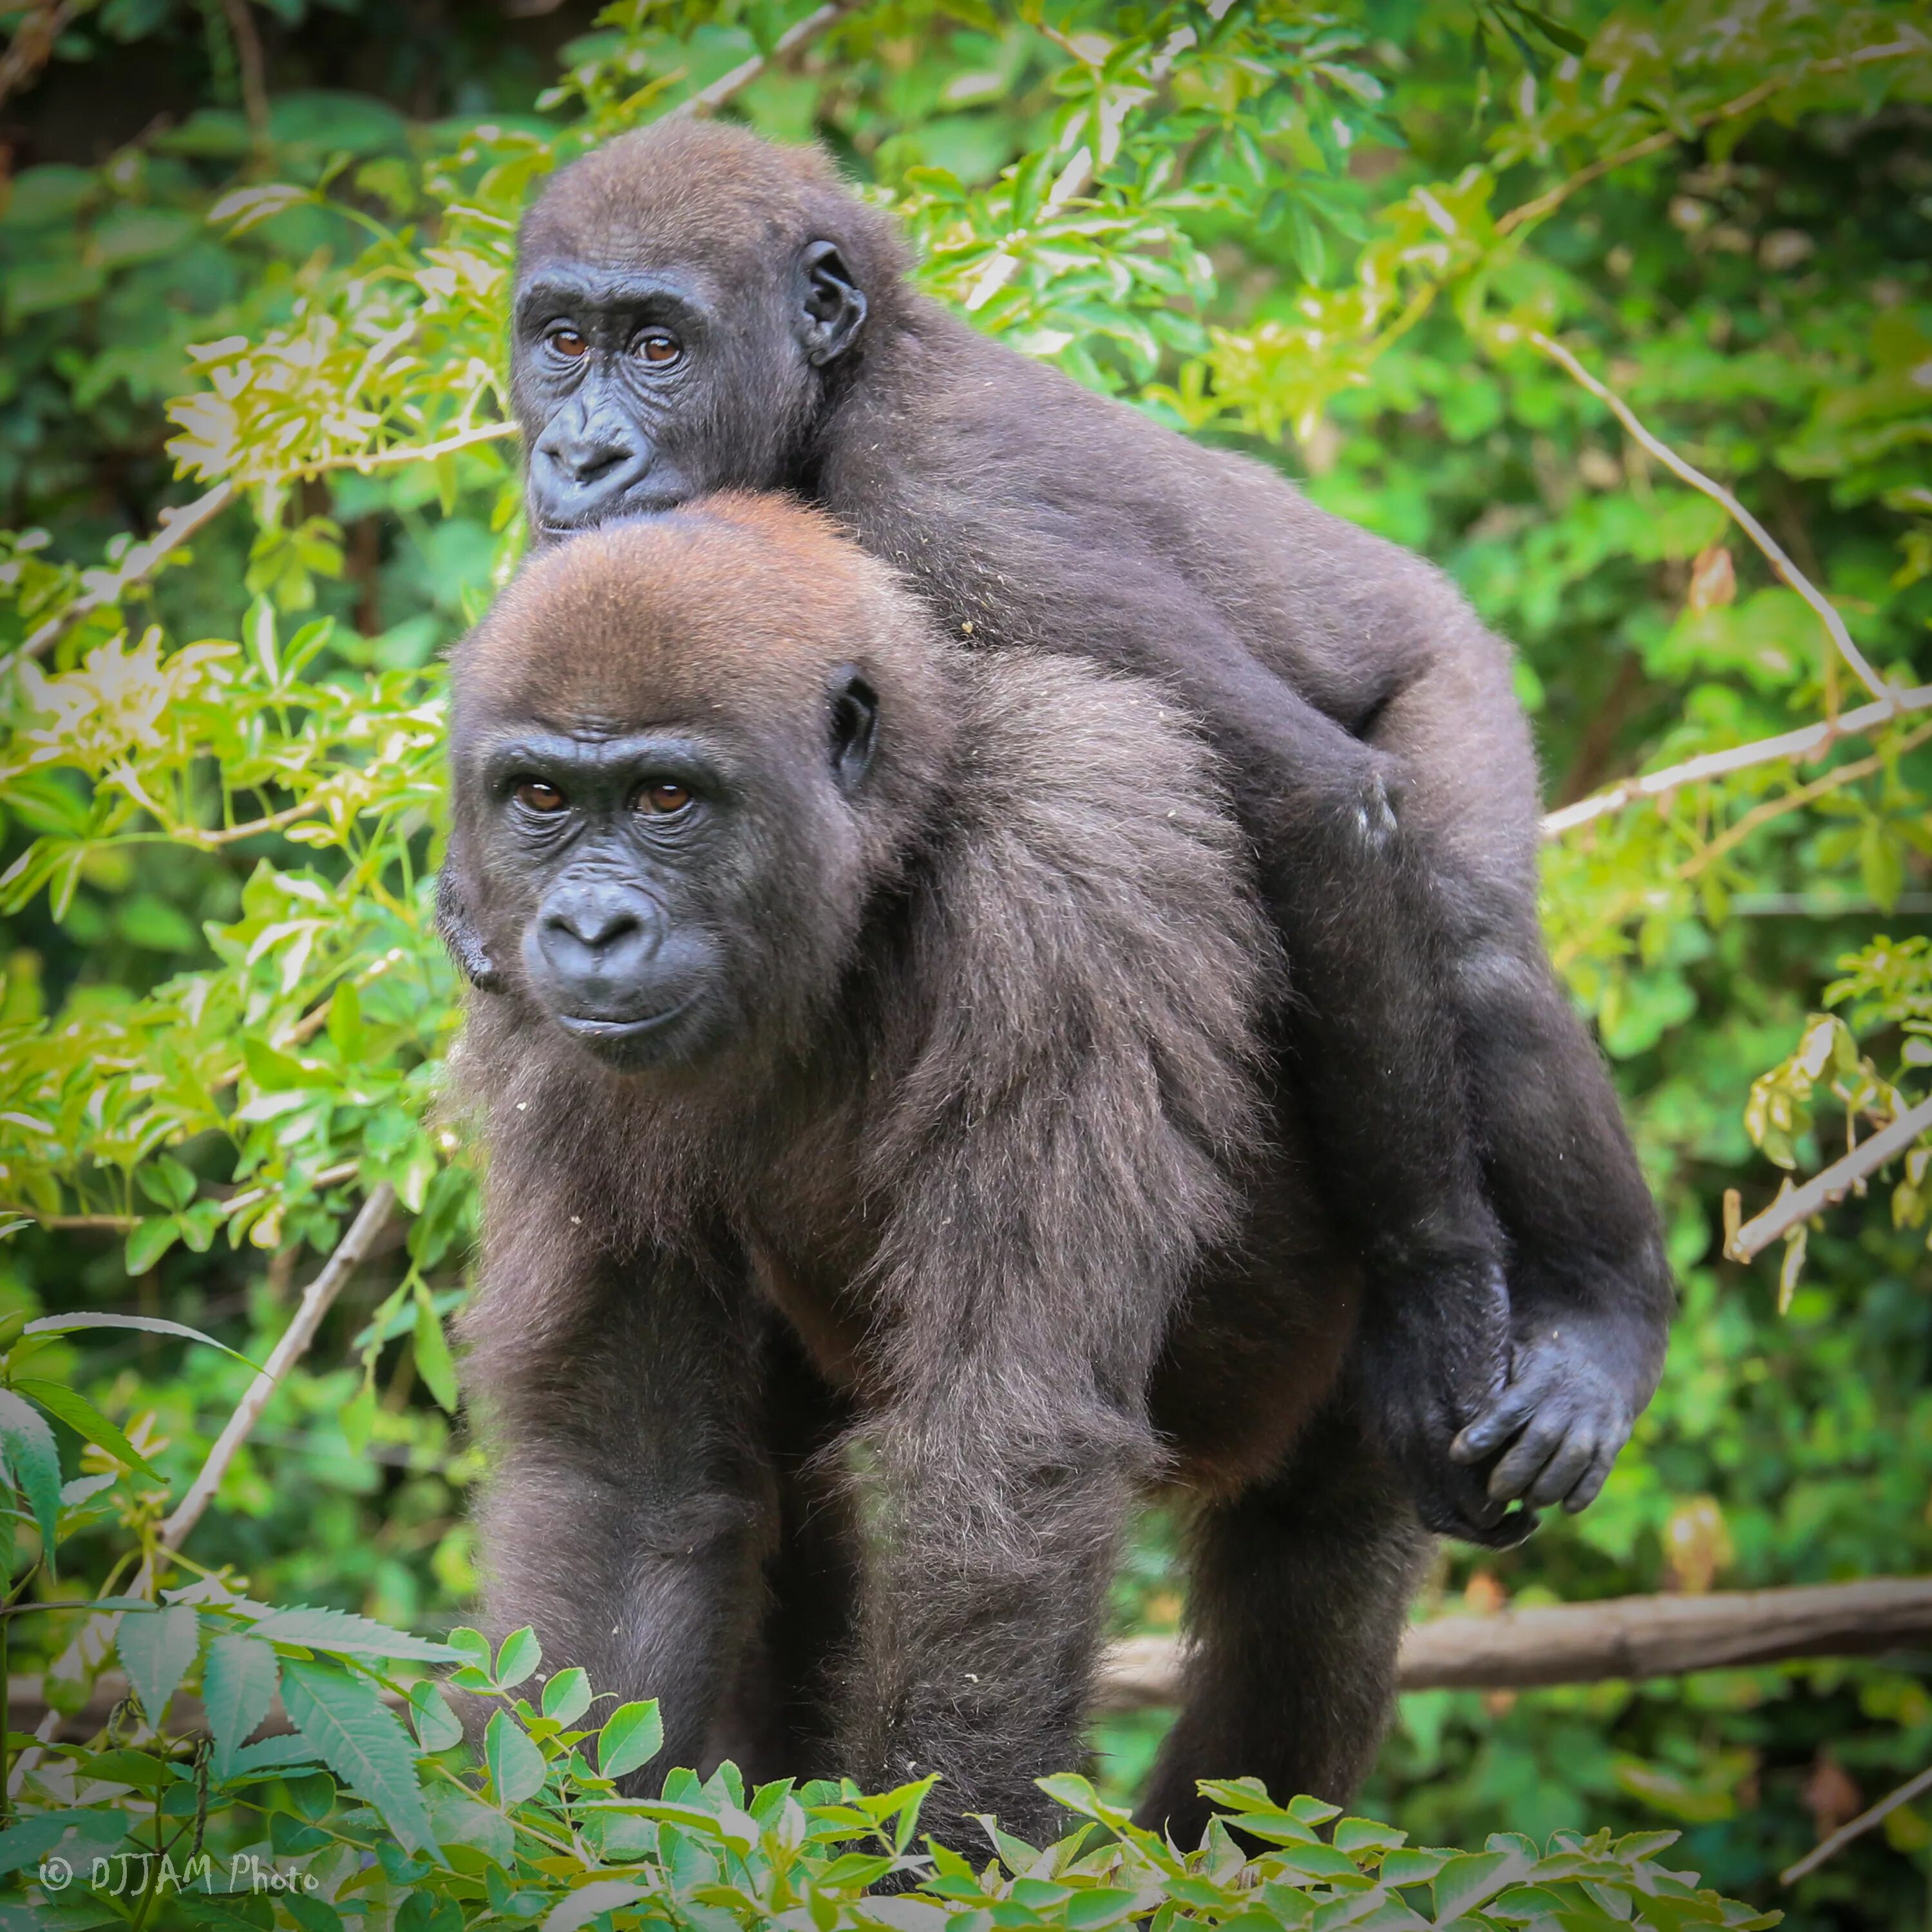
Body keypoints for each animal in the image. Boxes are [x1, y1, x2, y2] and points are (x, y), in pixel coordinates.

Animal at [448, 498, 1422, 1839]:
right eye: (539, 794)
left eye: (666, 797)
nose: (591, 930)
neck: (889, 858)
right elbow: (627, 1487)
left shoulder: (1065, 896)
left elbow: (1002, 1466)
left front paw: (932, 1863)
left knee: (1316, 1560)